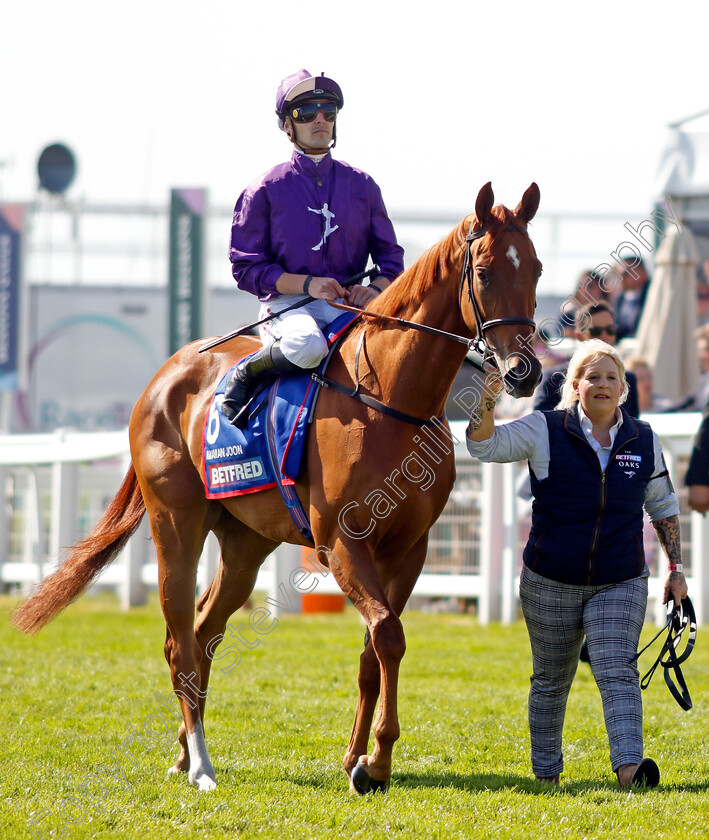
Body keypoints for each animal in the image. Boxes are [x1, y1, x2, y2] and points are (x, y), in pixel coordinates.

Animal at [12, 182, 544, 796]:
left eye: (535, 267)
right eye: (483, 271)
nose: (525, 371)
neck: (391, 399)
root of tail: (164, 376)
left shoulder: (408, 549)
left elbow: (374, 648)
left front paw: (359, 758)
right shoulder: (341, 542)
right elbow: (388, 634)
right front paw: (377, 761)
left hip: (246, 542)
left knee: (204, 629)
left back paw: (182, 751)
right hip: (177, 526)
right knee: (180, 641)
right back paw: (200, 764)